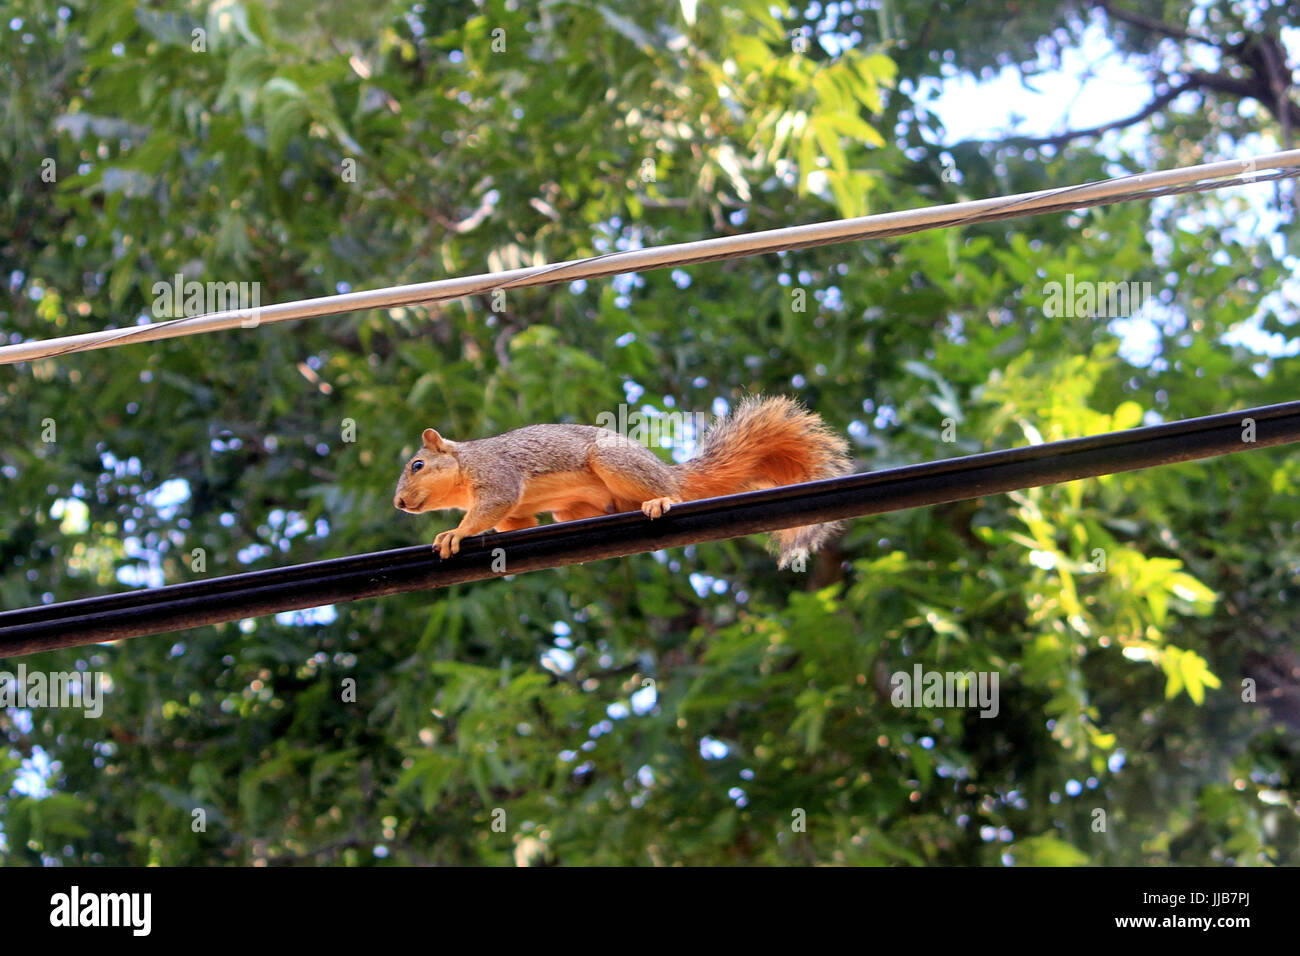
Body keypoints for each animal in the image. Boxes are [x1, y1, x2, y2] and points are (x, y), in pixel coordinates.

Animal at [387, 395, 852, 567]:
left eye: (417, 466)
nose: (399, 504)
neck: (464, 464)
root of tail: (666, 469)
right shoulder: (517, 511)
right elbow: (519, 523)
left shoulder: (495, 472)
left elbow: (493, 504)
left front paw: (455, 533)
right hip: (571, 507)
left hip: (613, 460)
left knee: (671, 492)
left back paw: (660, 501)